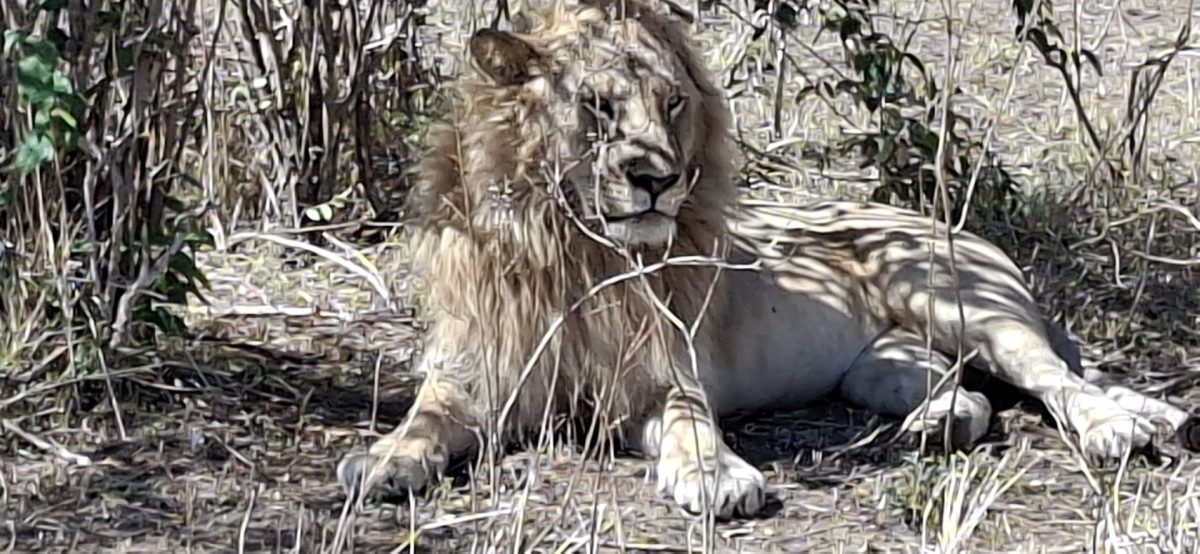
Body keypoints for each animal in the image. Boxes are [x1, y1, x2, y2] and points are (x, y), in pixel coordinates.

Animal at [337, 0, 1197, 518]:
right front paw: (383, 462)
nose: (658, 179)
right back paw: (936, 425)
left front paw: (716, 477)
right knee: (966, 393)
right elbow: (423, 418)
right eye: (598, 108)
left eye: (673, 104)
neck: (577, 248)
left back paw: (1114, 428)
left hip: (961, 303)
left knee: (1058, 380)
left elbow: (691, 426)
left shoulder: (667, 372)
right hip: (880, 361)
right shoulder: (473, 370)